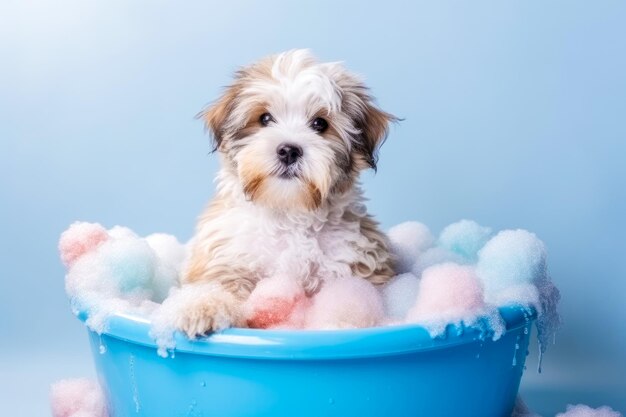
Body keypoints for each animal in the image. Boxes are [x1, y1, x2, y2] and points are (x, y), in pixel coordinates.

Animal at [177, 48, 394, 336]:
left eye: (320, 124)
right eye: (265, 118)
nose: (289, 150)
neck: (288, 214)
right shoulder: (226, 258)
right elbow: (217, 285)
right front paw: (201, 307)